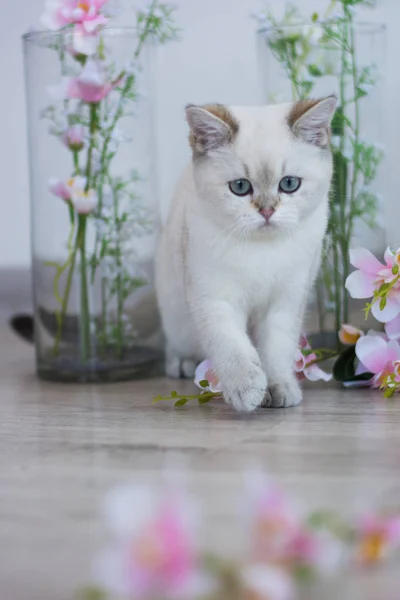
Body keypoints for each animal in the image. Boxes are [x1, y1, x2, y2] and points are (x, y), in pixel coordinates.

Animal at [155, 98, 336, 412]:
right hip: (177, 313)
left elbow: (276, 349)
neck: (261, 250)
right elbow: (232, 346)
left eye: (289, 184)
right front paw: (247, 389)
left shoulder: (286, 302)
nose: (267, 211)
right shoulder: (215, 299)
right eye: (240, 187)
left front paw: (280, 388)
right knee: (178, 342)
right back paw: (182, 364)